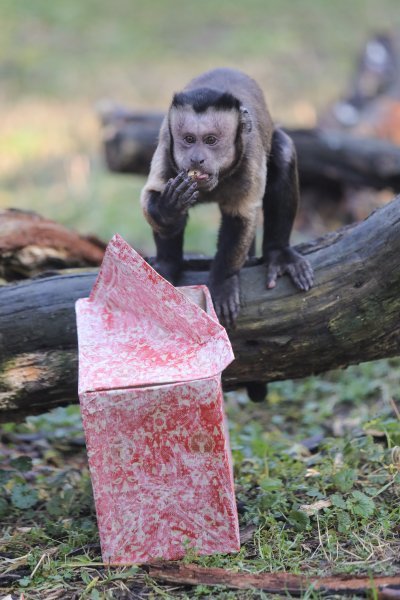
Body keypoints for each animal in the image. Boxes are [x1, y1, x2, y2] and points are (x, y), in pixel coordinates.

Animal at [140, 69, 312, 328]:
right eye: (189, 139)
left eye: (210, 140)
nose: (196, 159)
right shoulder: (166, 148)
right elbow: (151, 197)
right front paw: (170, 207)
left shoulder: (249, 156)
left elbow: (241, 217)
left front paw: (222, 283)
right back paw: (167, 264)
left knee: (283, 151)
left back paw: (279, 253)